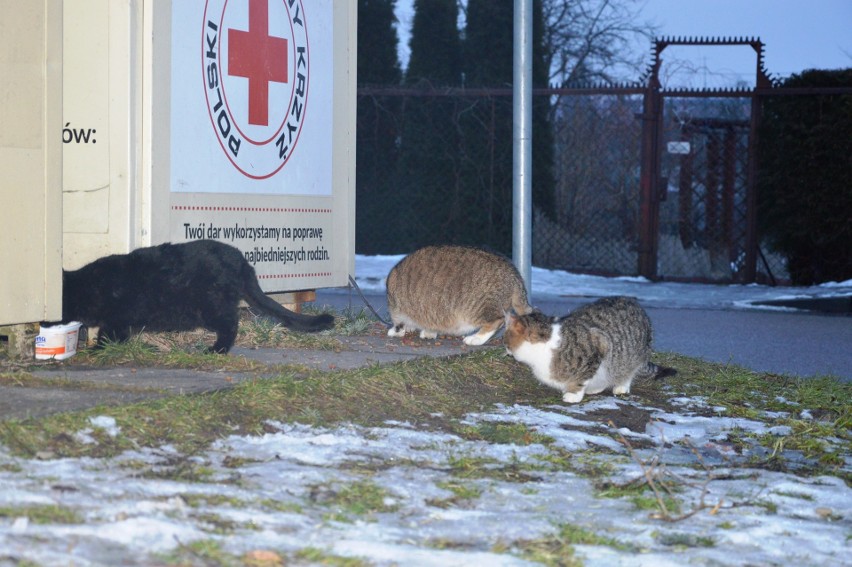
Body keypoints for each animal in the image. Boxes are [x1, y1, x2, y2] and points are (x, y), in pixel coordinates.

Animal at [57, 239, 332, 352]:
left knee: (231, 324)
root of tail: (242, 262)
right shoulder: (121, 322)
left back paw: (217, 350)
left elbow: (107, 335)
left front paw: (96, 350)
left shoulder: (117, 319)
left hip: (211, 306)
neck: (88, 286)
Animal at [388, 245, 532, 346]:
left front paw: (396, 331)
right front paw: (429, 332)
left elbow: (398, 324)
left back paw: (476, 338)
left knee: (498, 320)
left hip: (478, 307)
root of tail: (513, 273)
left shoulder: (397, 308)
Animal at [502, 298, 676, 404]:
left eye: (505, 339)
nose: (505, 349)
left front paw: (573, 394)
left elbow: (582, 377)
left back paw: (621, 386)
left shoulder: (600, 346)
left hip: (633, 356)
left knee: (628, 371)